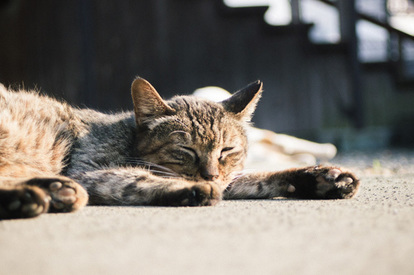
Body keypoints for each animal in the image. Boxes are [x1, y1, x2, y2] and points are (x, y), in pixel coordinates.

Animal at [0, 77, 360, 220]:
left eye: (227, 150)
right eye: (185, 151)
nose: (210, 174)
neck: (127, 137)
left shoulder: (230, 177)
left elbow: (260, 178)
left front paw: (321, 177)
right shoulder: (89, 171)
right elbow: (135, 180)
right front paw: (191, 189)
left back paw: (52, 191)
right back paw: (33, 196)